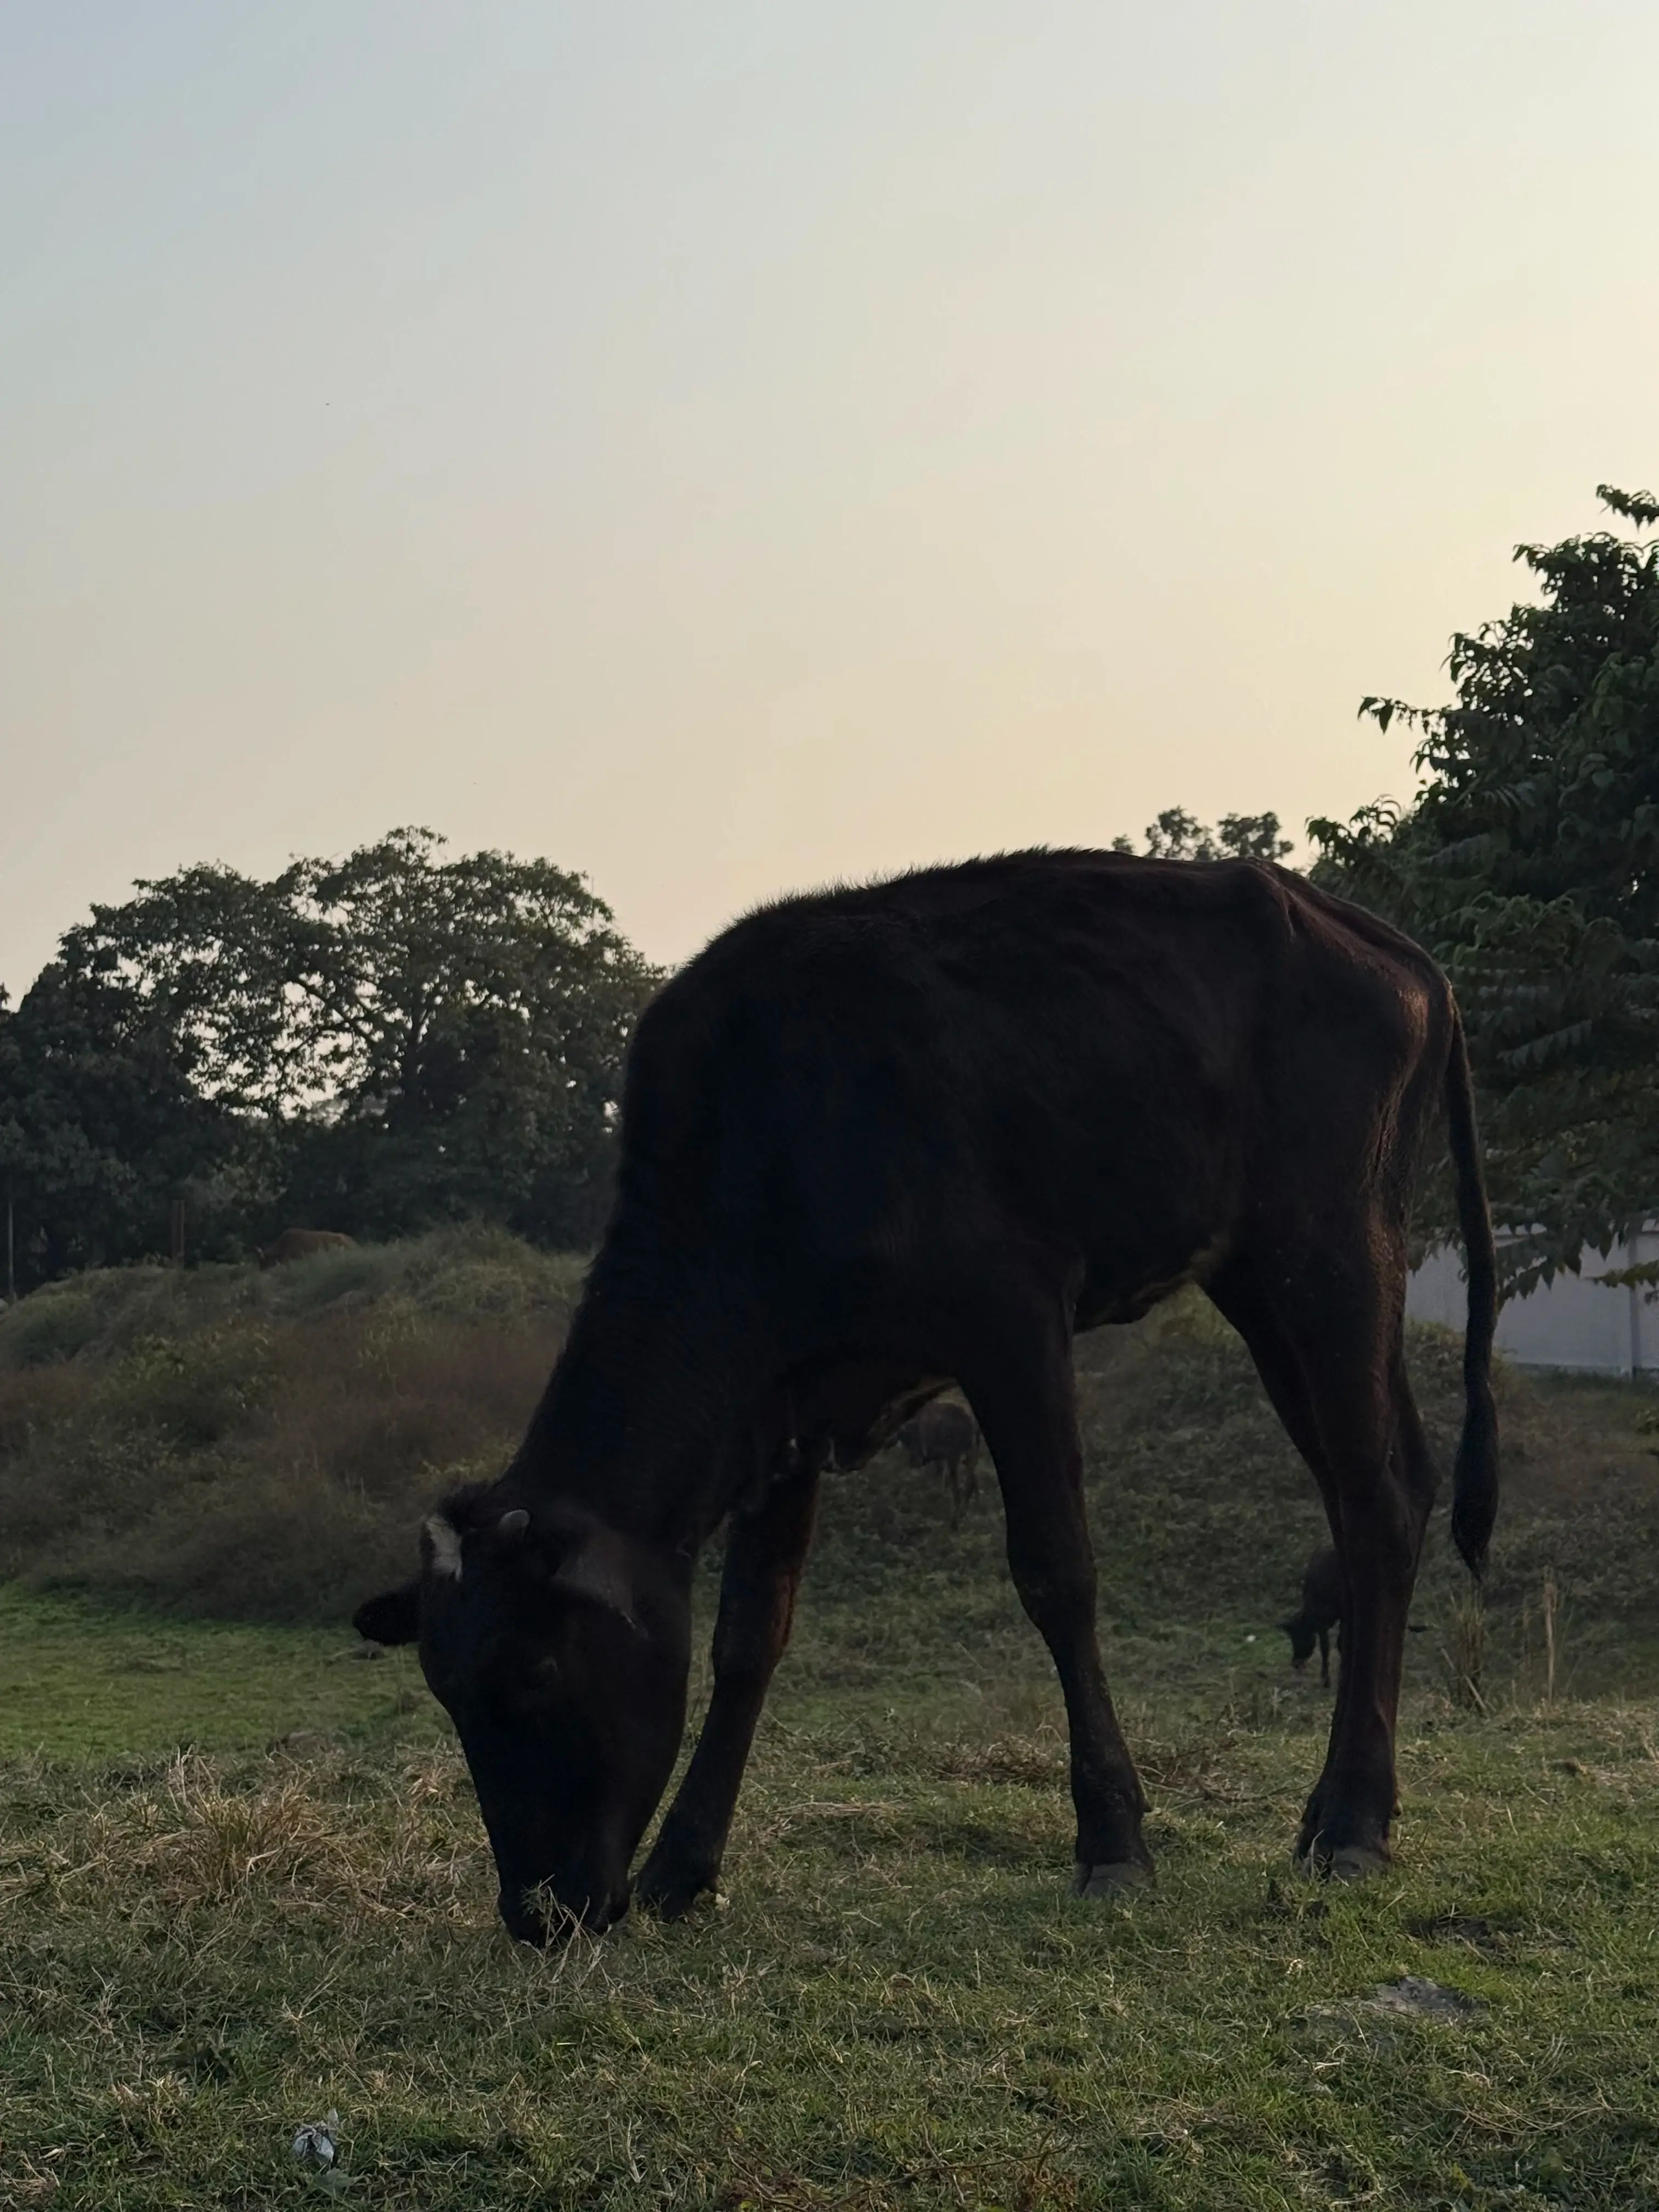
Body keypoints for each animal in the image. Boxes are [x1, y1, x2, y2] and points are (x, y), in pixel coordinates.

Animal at [895, 1400, 982, 1525]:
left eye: (910, 1441)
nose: (913, 1462)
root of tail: (971, 1422)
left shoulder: (949, 1456)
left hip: (957, 1457)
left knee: (961, 1486)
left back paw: (956, 1517)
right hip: (971, 1454)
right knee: (970, 1482)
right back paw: (966, 1511)